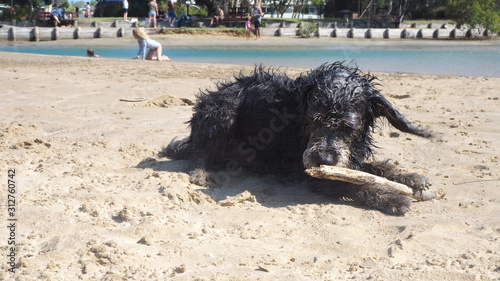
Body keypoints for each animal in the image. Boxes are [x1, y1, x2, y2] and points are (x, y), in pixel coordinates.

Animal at [162, 61, 436, 214]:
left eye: (348, 127)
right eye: (314, 120)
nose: (323, 159)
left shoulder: (348, 159)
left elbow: (375, 167)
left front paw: (411, 177)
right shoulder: (314, 175)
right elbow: (354, 184)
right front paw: (392, 197)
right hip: (222, 112)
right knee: (199, 151)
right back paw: (200, 172)